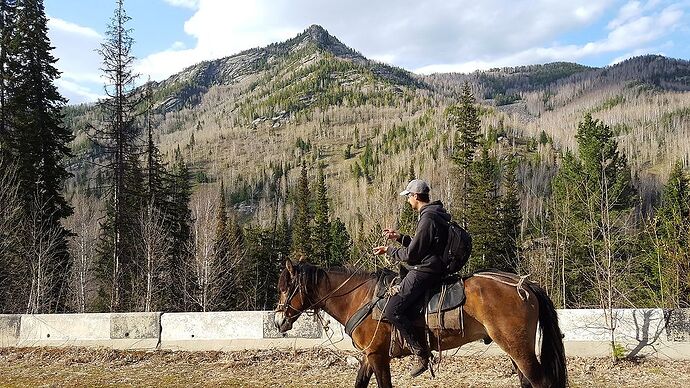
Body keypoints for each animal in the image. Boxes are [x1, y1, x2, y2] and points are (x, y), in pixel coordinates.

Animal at [272, 260, 564, 388]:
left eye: (285, 288)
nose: (277, 321)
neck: (359, 298)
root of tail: (525, 285)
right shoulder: (369, 355)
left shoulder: (378, 356)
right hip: (514, 348)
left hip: (519, 348)